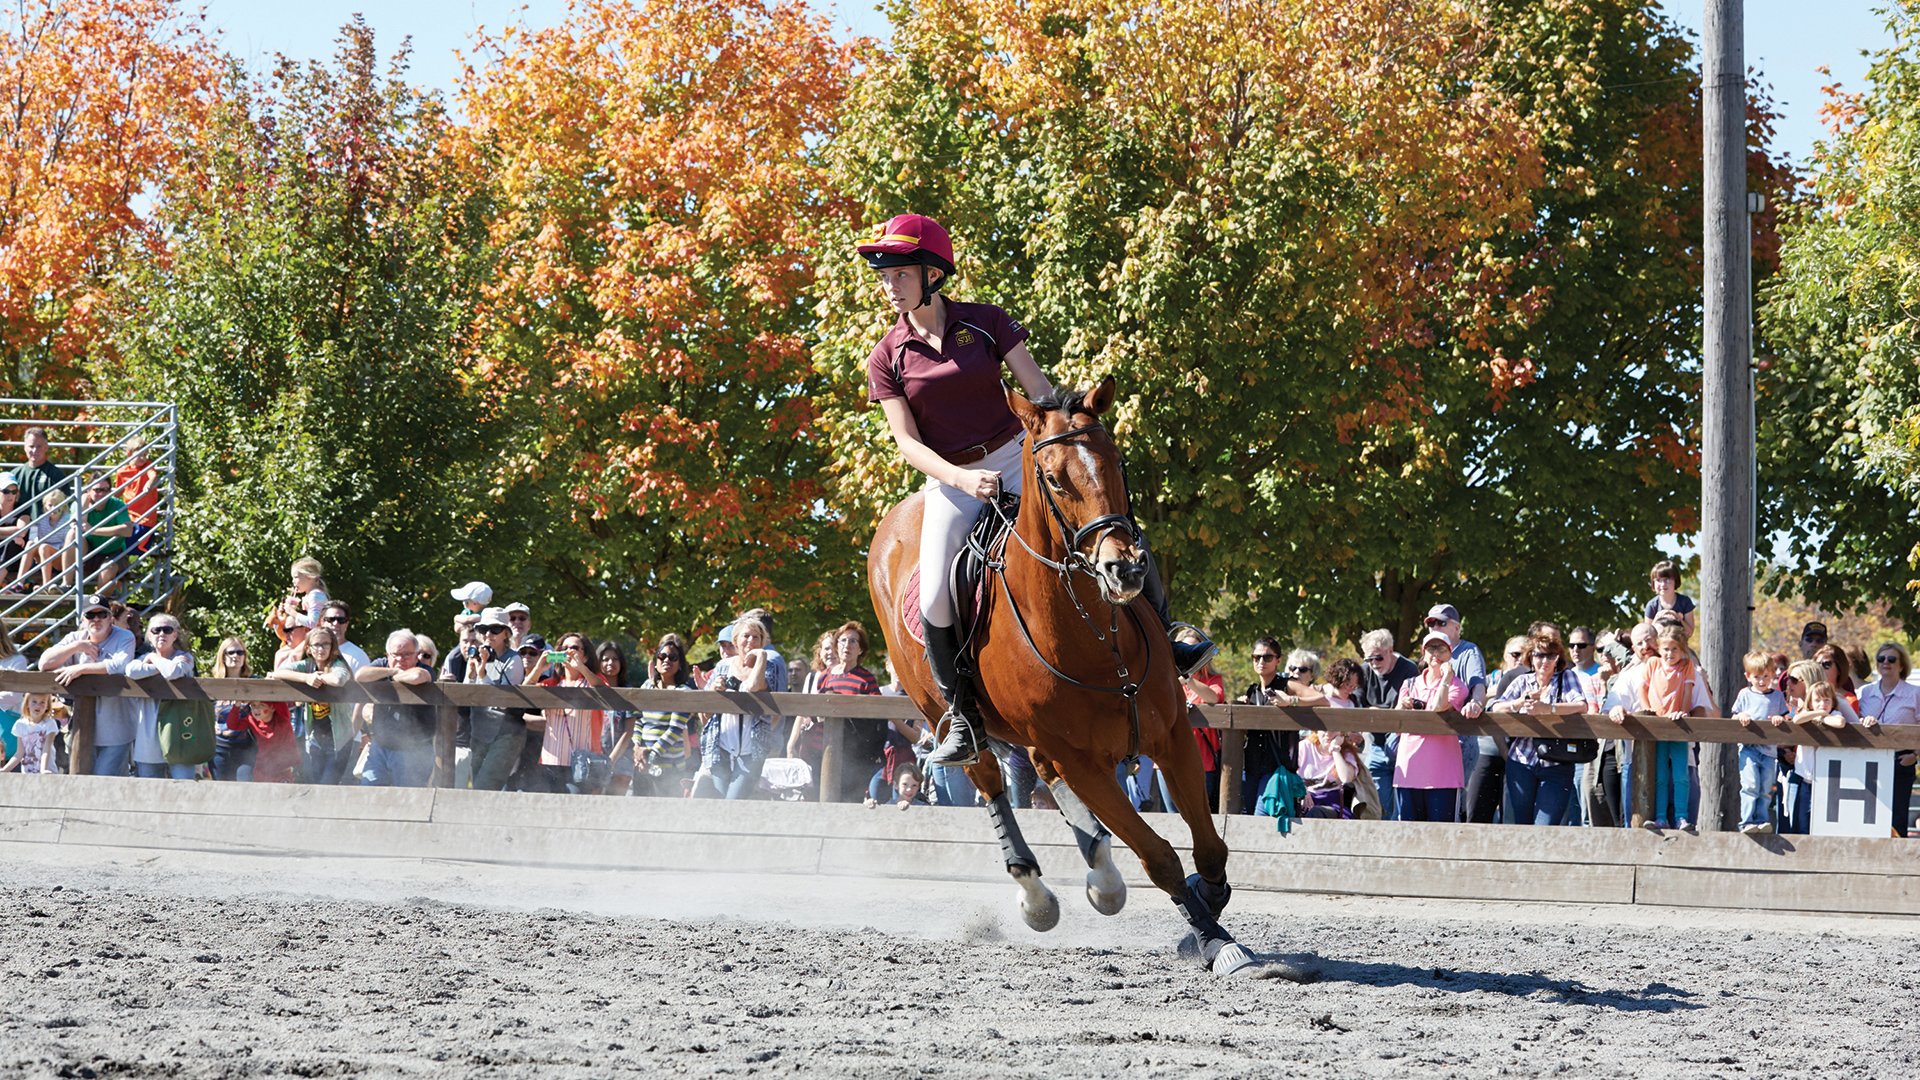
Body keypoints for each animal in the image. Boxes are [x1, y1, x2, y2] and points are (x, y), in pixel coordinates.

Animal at [871, 376, 1290, 976]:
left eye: (1116, 461)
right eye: (1052, 478)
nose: (1125, 568)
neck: (1093, 637)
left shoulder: (1171, 737)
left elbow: (1211, 849)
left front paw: (1205, 904)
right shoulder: (1082, 762)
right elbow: (1158, 857)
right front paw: (1213, 940)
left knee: (1043, 777)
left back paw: (1102, 875)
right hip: (943, 713)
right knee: (990, 780)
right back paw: (1036, 895)